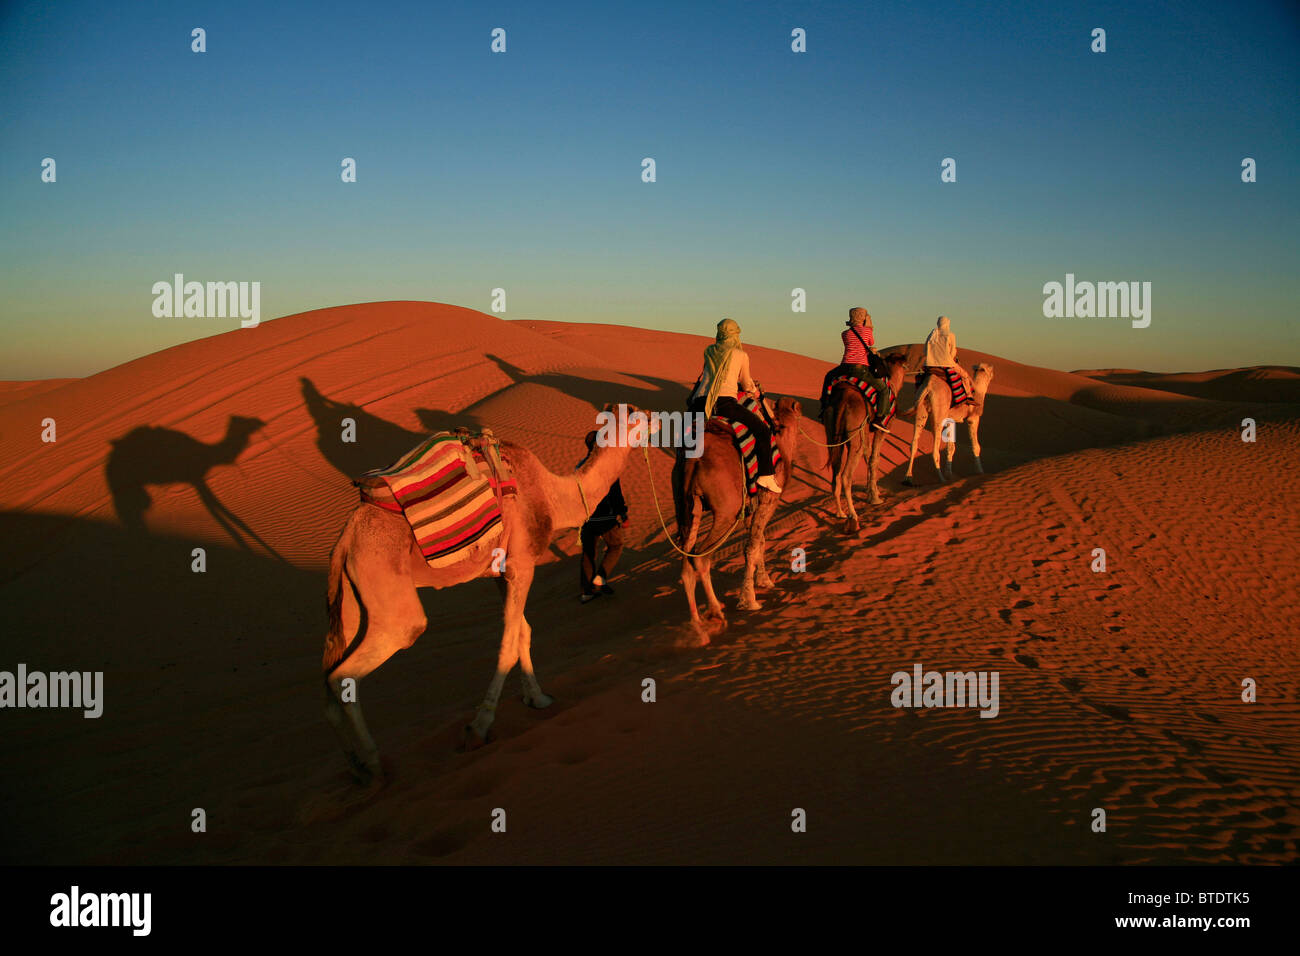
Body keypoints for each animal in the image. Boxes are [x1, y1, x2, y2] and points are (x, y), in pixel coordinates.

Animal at [323, 408, 644, 780]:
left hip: (350, 593)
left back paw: (356, 766)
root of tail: (346, 539)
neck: (552, 494)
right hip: (386, 589)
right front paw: (478, 728)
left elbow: (522, 631)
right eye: (639, 417)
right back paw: (374, 764)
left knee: (330, 673)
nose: (658, 419)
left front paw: (538, 699)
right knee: (350, 670)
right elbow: (507, 642)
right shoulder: (522, 562)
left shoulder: (502, 571)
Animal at [676, 395, 795, 634]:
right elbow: (752, 545)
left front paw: (764, 581)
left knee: (687, 558)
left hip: (688, 506)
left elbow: (759, 541)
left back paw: (696, 623)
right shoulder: (769, 499)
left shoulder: (752, 507)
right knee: (700, 556)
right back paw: (715, 611)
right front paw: (749, 600)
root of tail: (693, 459)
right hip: (727, 512)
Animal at [826, 353, 909, 535]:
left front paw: (871, 493)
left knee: (836, 472)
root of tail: (844, 398)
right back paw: (853, 516)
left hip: (833, 434)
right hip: (854, 435)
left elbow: (868, 455)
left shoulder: (866, 431)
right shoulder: (882, 428)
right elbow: (874, 458)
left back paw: (840, 513)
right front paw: (876, 497)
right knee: (846, 475)